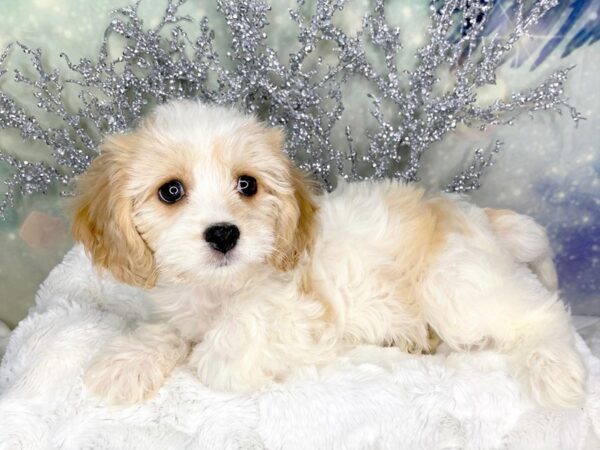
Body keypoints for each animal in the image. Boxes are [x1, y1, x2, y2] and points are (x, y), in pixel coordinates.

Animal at [74, 98, 584, 408]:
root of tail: (480, 216)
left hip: (456, 284)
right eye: (171, 191)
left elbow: (227, 344)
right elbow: (168, 332)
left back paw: (556, 372)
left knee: (542, 314)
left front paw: (209, 356)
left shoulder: (298, 313)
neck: (220, 287)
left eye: (247, 185)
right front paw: (125, 362)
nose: (223, 234)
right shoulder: (179, 311)